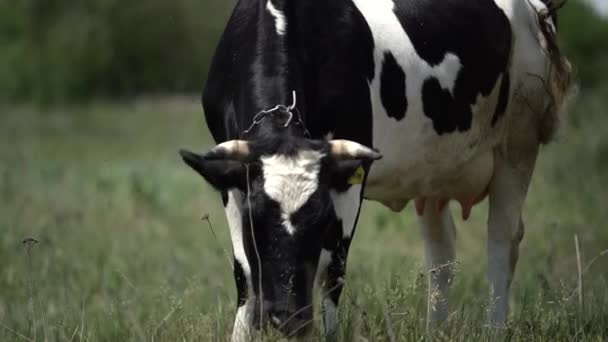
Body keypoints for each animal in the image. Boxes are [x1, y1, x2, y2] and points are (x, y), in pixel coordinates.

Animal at [179, 0, 568, 340]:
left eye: (321, 222)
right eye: (254, 224)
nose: (290, 319)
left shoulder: (351, 178)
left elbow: (333, 272)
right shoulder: (232, 181)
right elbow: (244, 274)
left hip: (518, 145)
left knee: (501, 243)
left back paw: (493, 330)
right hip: (432, 174)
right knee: (442, 254)